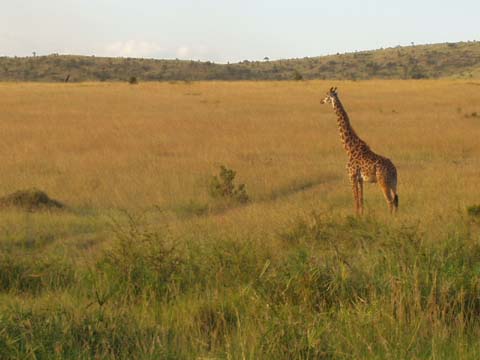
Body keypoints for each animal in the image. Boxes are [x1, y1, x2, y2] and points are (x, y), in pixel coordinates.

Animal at [322, 87, 398, 215]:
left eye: (327, 95)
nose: (321, 101)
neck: (349, 148)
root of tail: (394, 169)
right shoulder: (360, 179)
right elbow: (361, 200)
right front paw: (362, 216)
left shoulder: (351, 176)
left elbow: (356, 199)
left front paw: (356, 216)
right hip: (393, 182)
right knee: (396, 200)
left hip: (383, 181)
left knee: (390, 200)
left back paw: (390, 218)